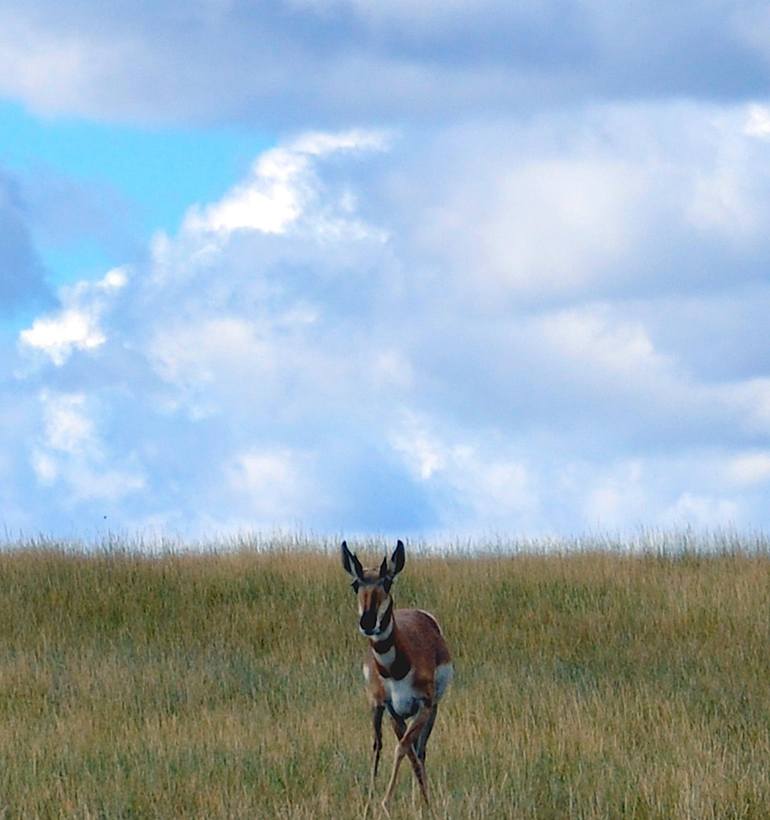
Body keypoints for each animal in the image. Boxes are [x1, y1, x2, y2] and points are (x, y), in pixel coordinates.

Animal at [340, 540, 452, 812]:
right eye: (356, 584)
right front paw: (372, 800)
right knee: (400, 747)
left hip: (433, 709)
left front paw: (387, 801)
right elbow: (382, 747)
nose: (368, 621)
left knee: (420, 750)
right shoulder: (388, 709)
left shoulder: (423, 706)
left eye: (387, 582)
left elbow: (404, 749)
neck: (395, 669)